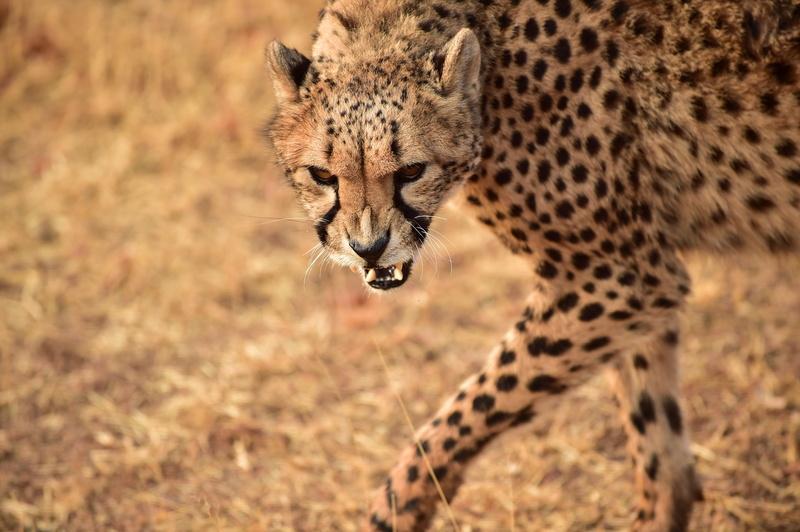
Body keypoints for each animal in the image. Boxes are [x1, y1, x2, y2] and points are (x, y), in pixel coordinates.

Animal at [264, 0, 800, 530]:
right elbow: (652, 423)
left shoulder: (615, 278)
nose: (369, 247)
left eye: (412, 170)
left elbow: (479, 399)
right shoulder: (636, 277)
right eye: (322, 175)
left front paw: (401, 501)